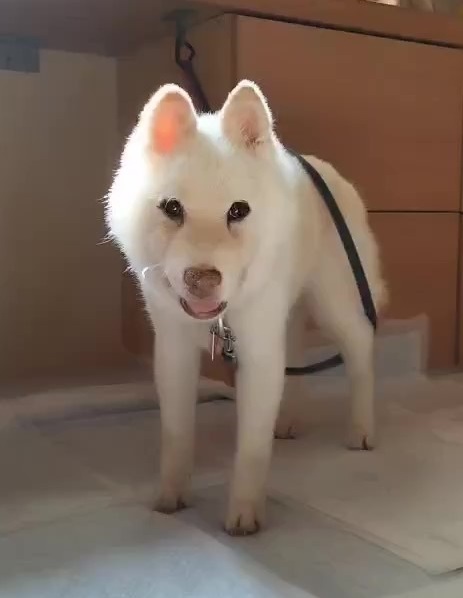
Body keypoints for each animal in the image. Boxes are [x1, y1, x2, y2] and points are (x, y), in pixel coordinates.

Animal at [106, 80, 387, 535]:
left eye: (238, 211)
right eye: (172, 208)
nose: (201, 279)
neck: (221, 318)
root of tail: (328, 171)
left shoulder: (258, 348)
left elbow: (251, 449)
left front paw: (244, 514)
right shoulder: (173, 349)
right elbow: (177, 433)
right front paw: (171, 497)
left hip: (337, 304)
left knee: (361, 353)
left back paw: (361, 430)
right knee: (296, 355)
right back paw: (288, 420)